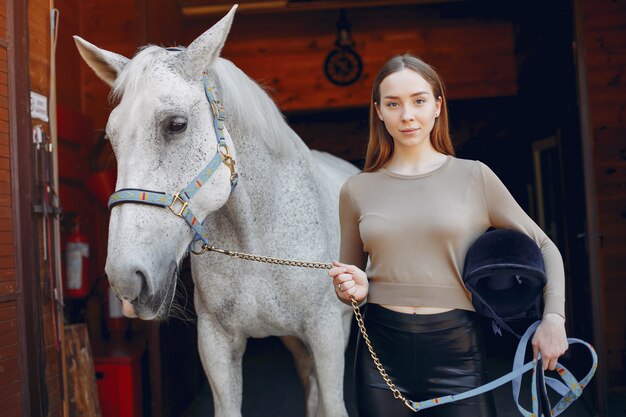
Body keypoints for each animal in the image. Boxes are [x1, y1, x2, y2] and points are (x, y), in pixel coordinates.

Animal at [73, 4, 356, 416]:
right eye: (112, 136)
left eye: (176, 124)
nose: (126, 279)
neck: (256, 244)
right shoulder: (217, 343)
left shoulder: (326, 333)